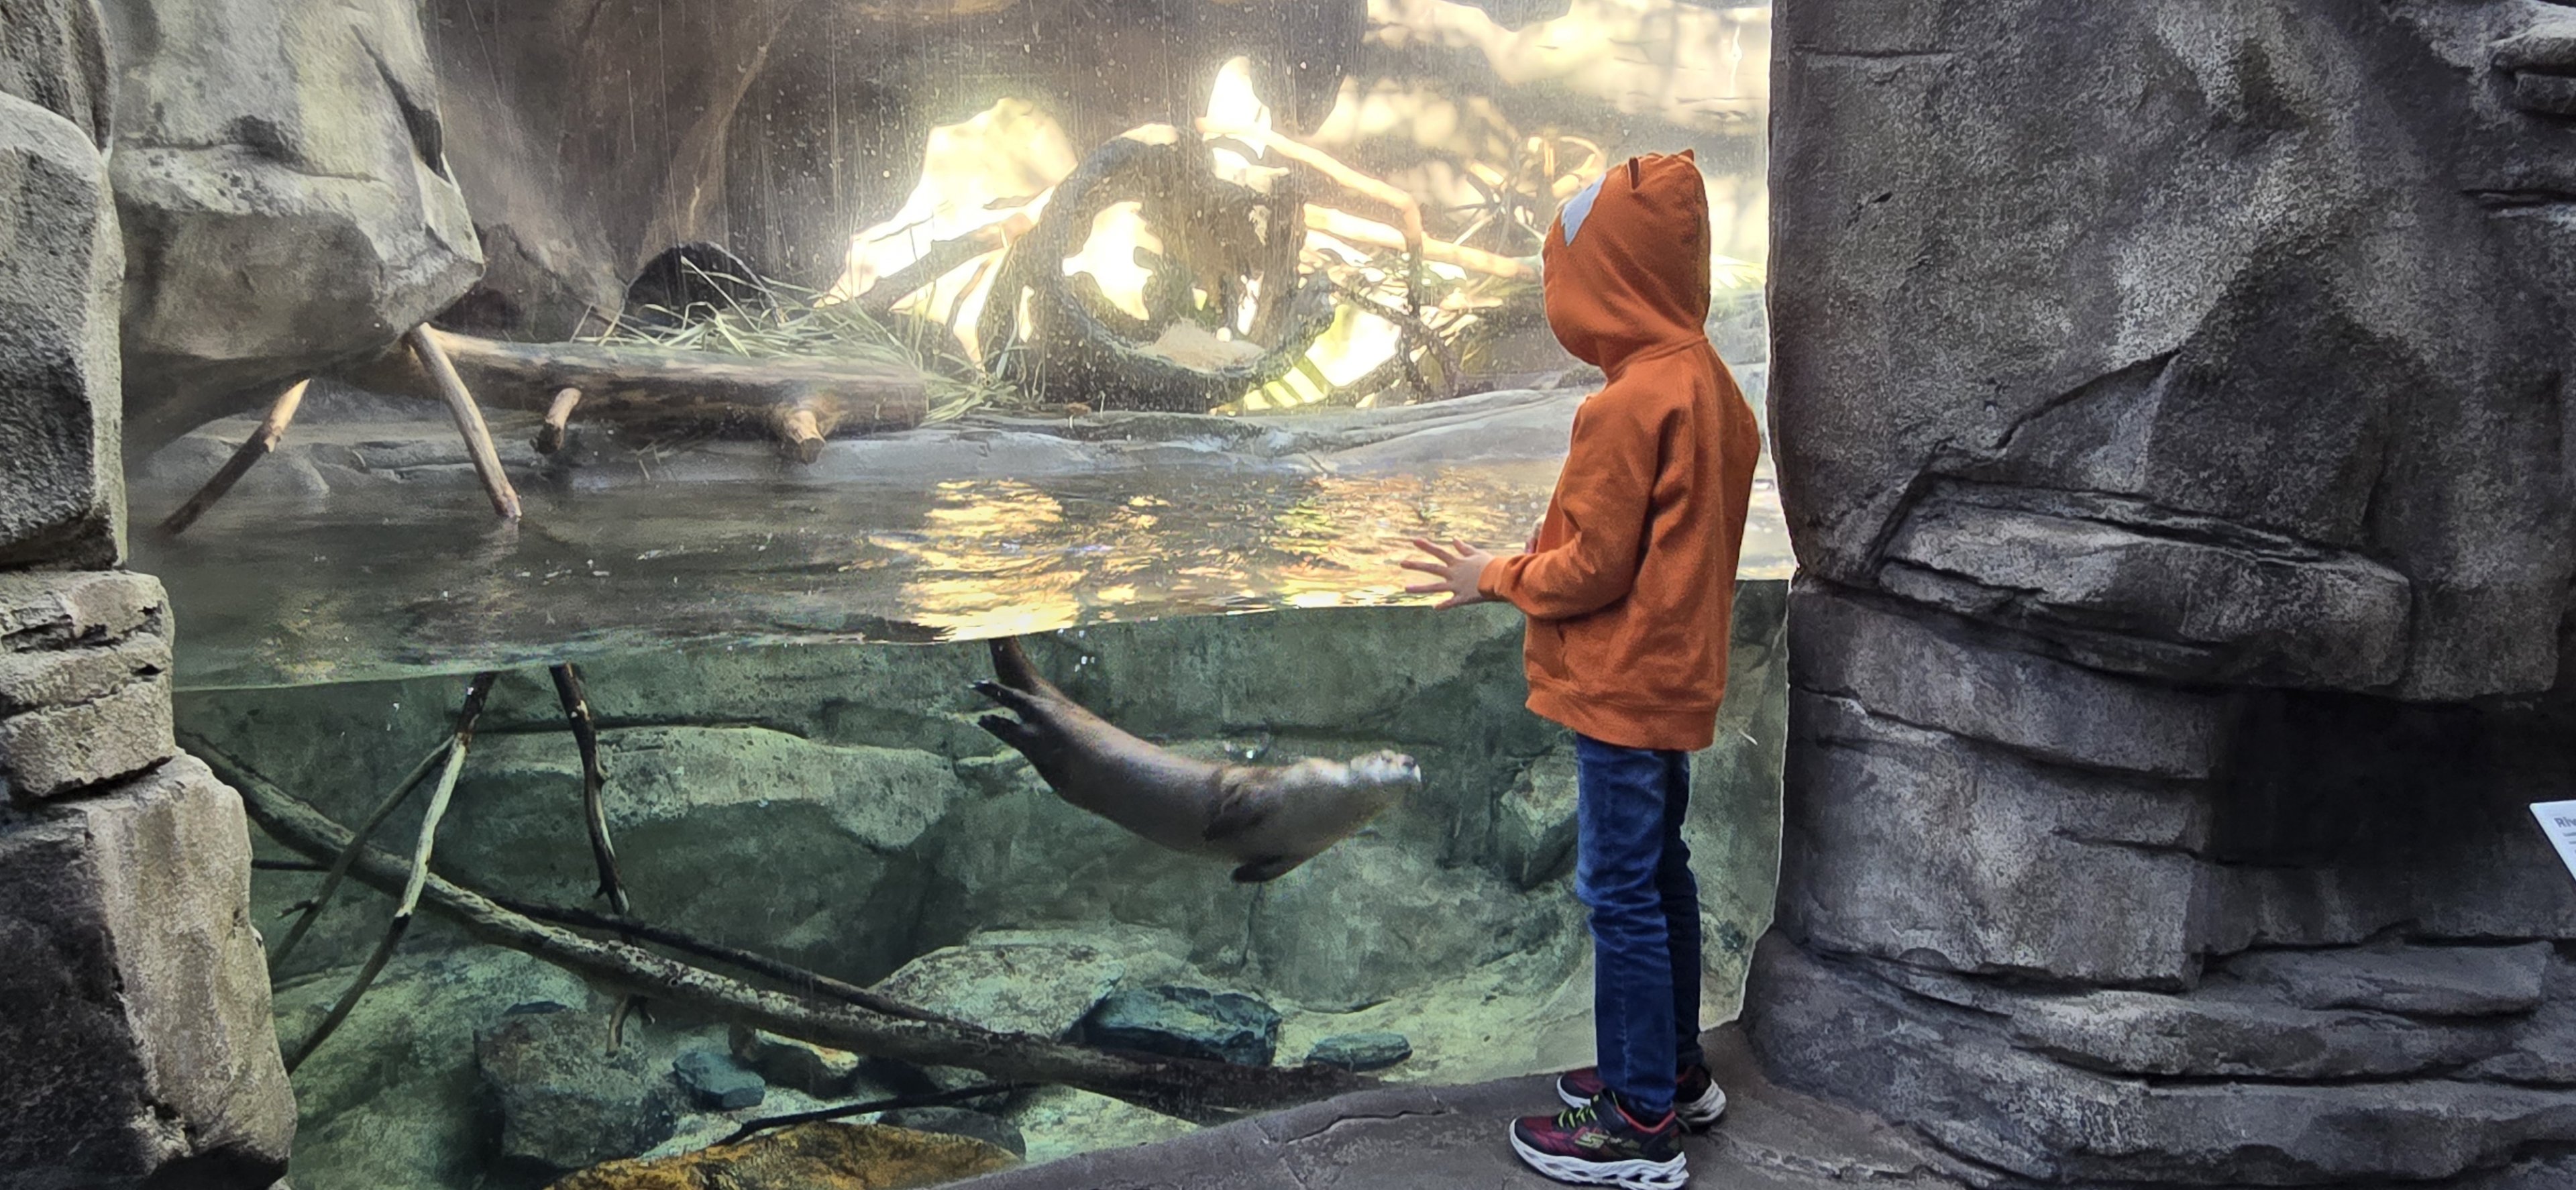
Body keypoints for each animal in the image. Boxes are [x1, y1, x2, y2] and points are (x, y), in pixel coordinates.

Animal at [971, 636, 1421, 882]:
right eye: (1387, 757)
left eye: (1407, 758)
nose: (1412, 761)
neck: (1319, 809)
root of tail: (1073, 707)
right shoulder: (1262, 788)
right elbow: (1233, 807)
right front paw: (1213, 832)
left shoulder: (1301, 851)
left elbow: (1265, 870)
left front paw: (1240, 875)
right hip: (1063, 722)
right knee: (1032, 704)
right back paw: (991, 692)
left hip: (1061, 761)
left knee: (1033, 738)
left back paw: (994, 720)